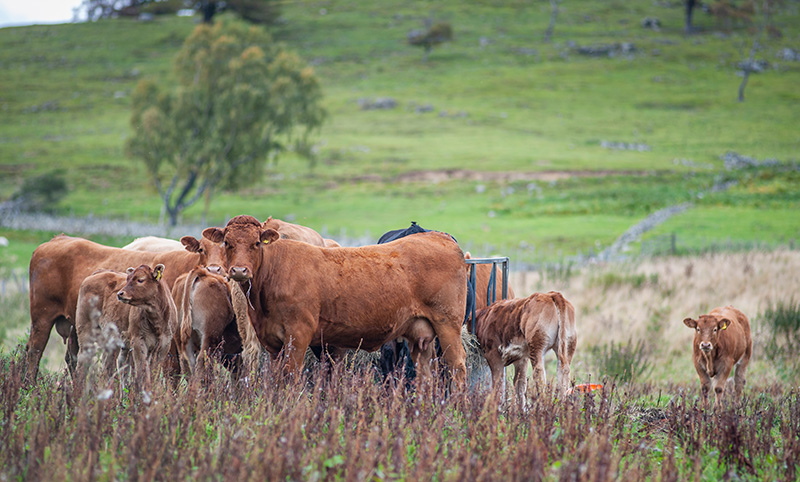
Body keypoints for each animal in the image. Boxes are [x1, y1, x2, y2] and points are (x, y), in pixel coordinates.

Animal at [25, 233, 200, 380]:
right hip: (50, 322)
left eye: (140, 280)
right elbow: (144, 372)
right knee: (38, 352)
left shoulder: (163, 346)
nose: (120, 294)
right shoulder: (139, 344)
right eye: (128, 278)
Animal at [203, 215, 472, 384]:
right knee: (426, 372)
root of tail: (438, 237)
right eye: (227, 242)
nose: (239, 271)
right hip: (420, 334)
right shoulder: (271, 341)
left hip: (447, 325)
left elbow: (291, 377)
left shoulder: (298, 335)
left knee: (457, 366)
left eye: (257, 242)